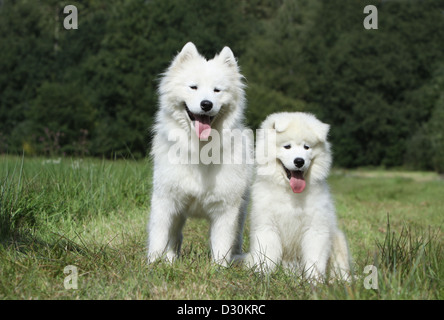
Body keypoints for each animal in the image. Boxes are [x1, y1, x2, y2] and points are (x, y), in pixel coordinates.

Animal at [147, 43, 253, 268]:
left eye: (217, 90)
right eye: (193, 87)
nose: (206, 104)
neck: (200, 149)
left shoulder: (226, 208)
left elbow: (221, 243)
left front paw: (219, 269)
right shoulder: (166, 200)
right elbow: (159, 237)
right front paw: (152, 265)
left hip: (241, 210)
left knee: (236, 239)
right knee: (174, 237)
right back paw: (170, 261)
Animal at [245, 112, 352, 280]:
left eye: (306, 147)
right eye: (287, 146)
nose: (299, 161)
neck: (291, 193)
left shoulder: (316, 228)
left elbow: (314, 259)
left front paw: (314, 281)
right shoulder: (267, 226)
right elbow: (267, 255)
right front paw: (263, 275)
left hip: (338, 239)